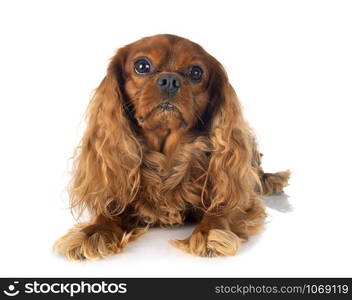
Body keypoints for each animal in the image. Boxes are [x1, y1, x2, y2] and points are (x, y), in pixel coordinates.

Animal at [53, 34, 288, 260]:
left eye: (196, 72)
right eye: (142, 65)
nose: (170, 80)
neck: (166, 155)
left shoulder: (238, 195)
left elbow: (221, 208)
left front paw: (209, 233)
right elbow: (108, 212)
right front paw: (93, 233)